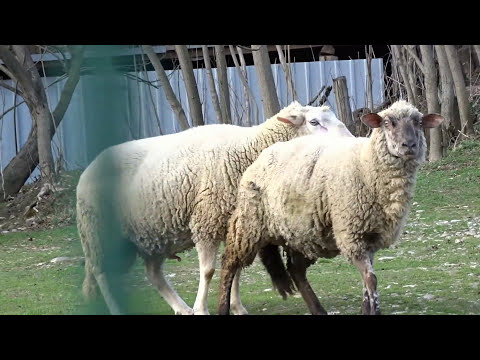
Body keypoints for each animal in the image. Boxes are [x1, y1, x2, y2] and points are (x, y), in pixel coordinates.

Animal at [76, 100, 352, 314]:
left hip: (152, 236)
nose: (351, 142)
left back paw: (181, 308)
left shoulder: (237, 224)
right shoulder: (205, 221)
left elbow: (237, 268)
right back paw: (120, 310)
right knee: (102, 274)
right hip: (98, 232)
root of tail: (89, 167)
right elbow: (208, 271)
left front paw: (236, 307)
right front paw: (202, 309)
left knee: (153, 275)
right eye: (314, 122)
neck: (247, 150)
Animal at [218, 100, 442, 316]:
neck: (366, 165)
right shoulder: (351, 234)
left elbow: (367, 281)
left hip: (301, 232)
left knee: (296, 270)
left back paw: (318, 309)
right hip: (249, 224)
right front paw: (374, 310)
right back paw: (224, 308)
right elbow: (371, 279)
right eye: (387, 123)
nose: (409, 145)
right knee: (229, 263)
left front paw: (366, 309)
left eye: (418, 123)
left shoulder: (370, 237)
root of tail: (264, 154)